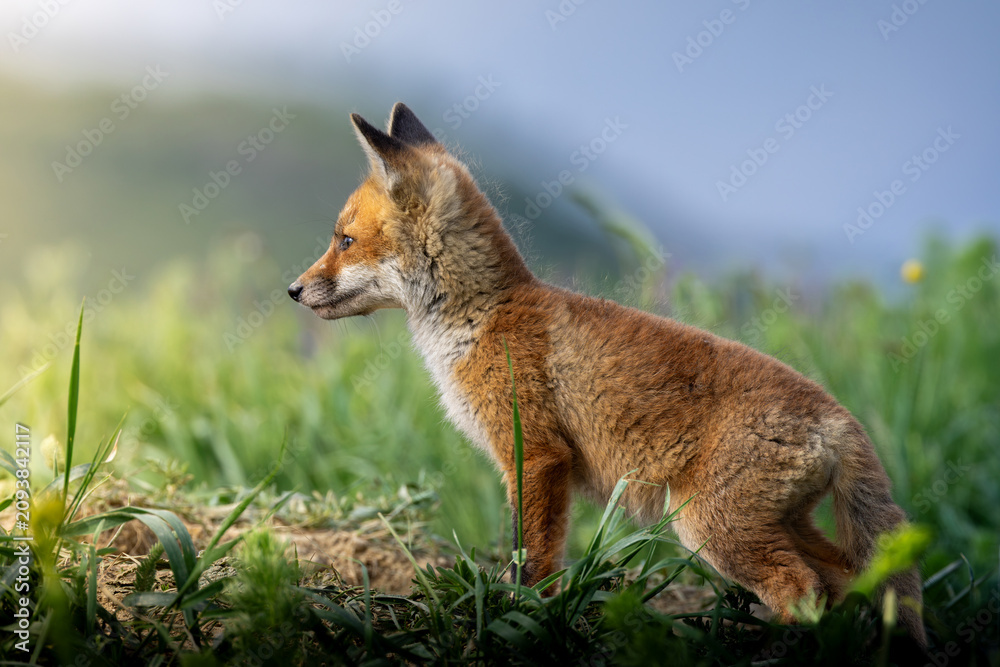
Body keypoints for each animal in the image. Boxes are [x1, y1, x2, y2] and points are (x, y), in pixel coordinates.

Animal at [288, 102, 925, 645]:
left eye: (345, 241)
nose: (292, 290)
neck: (481, 318)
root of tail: (838, 416)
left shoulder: (537, 455)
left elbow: (533, 561)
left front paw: (522, 619)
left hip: (713, 529)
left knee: (804, 589)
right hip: (773, 526)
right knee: (853, 581)